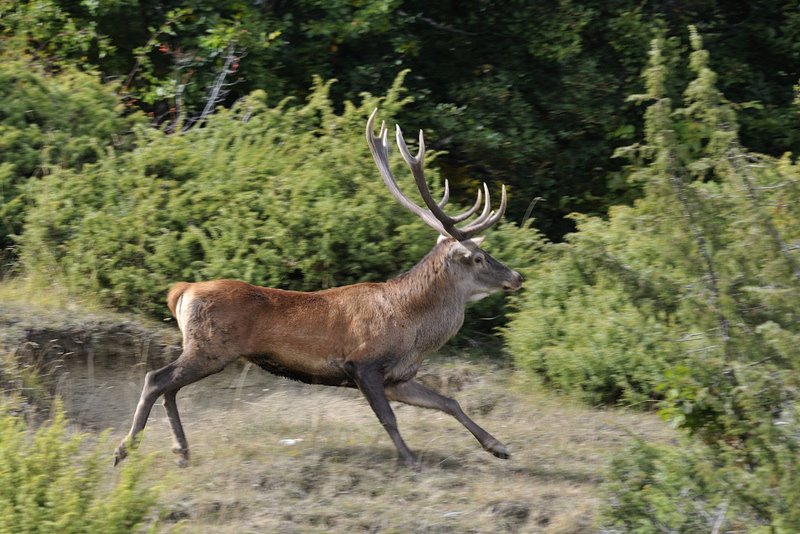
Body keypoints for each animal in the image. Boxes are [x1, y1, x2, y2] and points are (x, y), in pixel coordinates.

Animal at [114, 110, 524, 468]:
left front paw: (499, 446)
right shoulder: (362, 363)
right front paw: (409, 458)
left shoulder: (397, 378)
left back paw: (181, 451)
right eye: (479, 257)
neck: (413, 331)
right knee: (156, 379)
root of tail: (182, 291)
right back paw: (125, 449)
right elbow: (388, 418)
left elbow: (448, 401)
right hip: (211, 347)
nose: (517, 276)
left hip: (203, 348)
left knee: (169, 388)